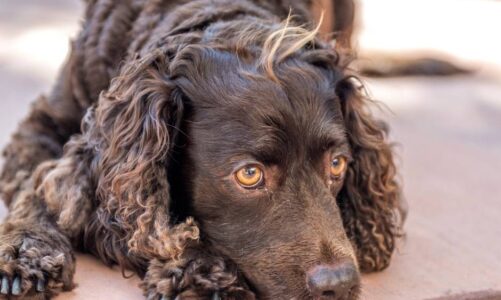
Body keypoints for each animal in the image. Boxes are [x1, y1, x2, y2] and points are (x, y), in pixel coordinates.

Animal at [0, 0, 402, 300]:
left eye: (337, 164)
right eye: (249, 174)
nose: (339, 285)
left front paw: (197, 268)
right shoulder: (43, 125)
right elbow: (36, 187)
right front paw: (24, 250)